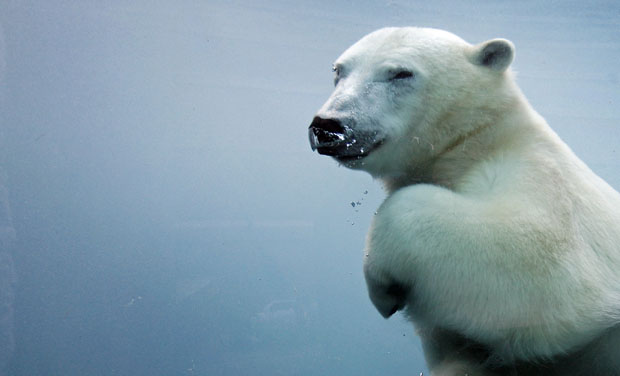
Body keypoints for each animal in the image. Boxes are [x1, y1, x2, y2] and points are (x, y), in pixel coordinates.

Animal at [308, 27, 620, 374]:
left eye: (401, 73)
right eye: (338, 70)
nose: (329, 125)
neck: (479, 141)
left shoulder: (545, 183)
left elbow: (538, 261)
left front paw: (383, 288)